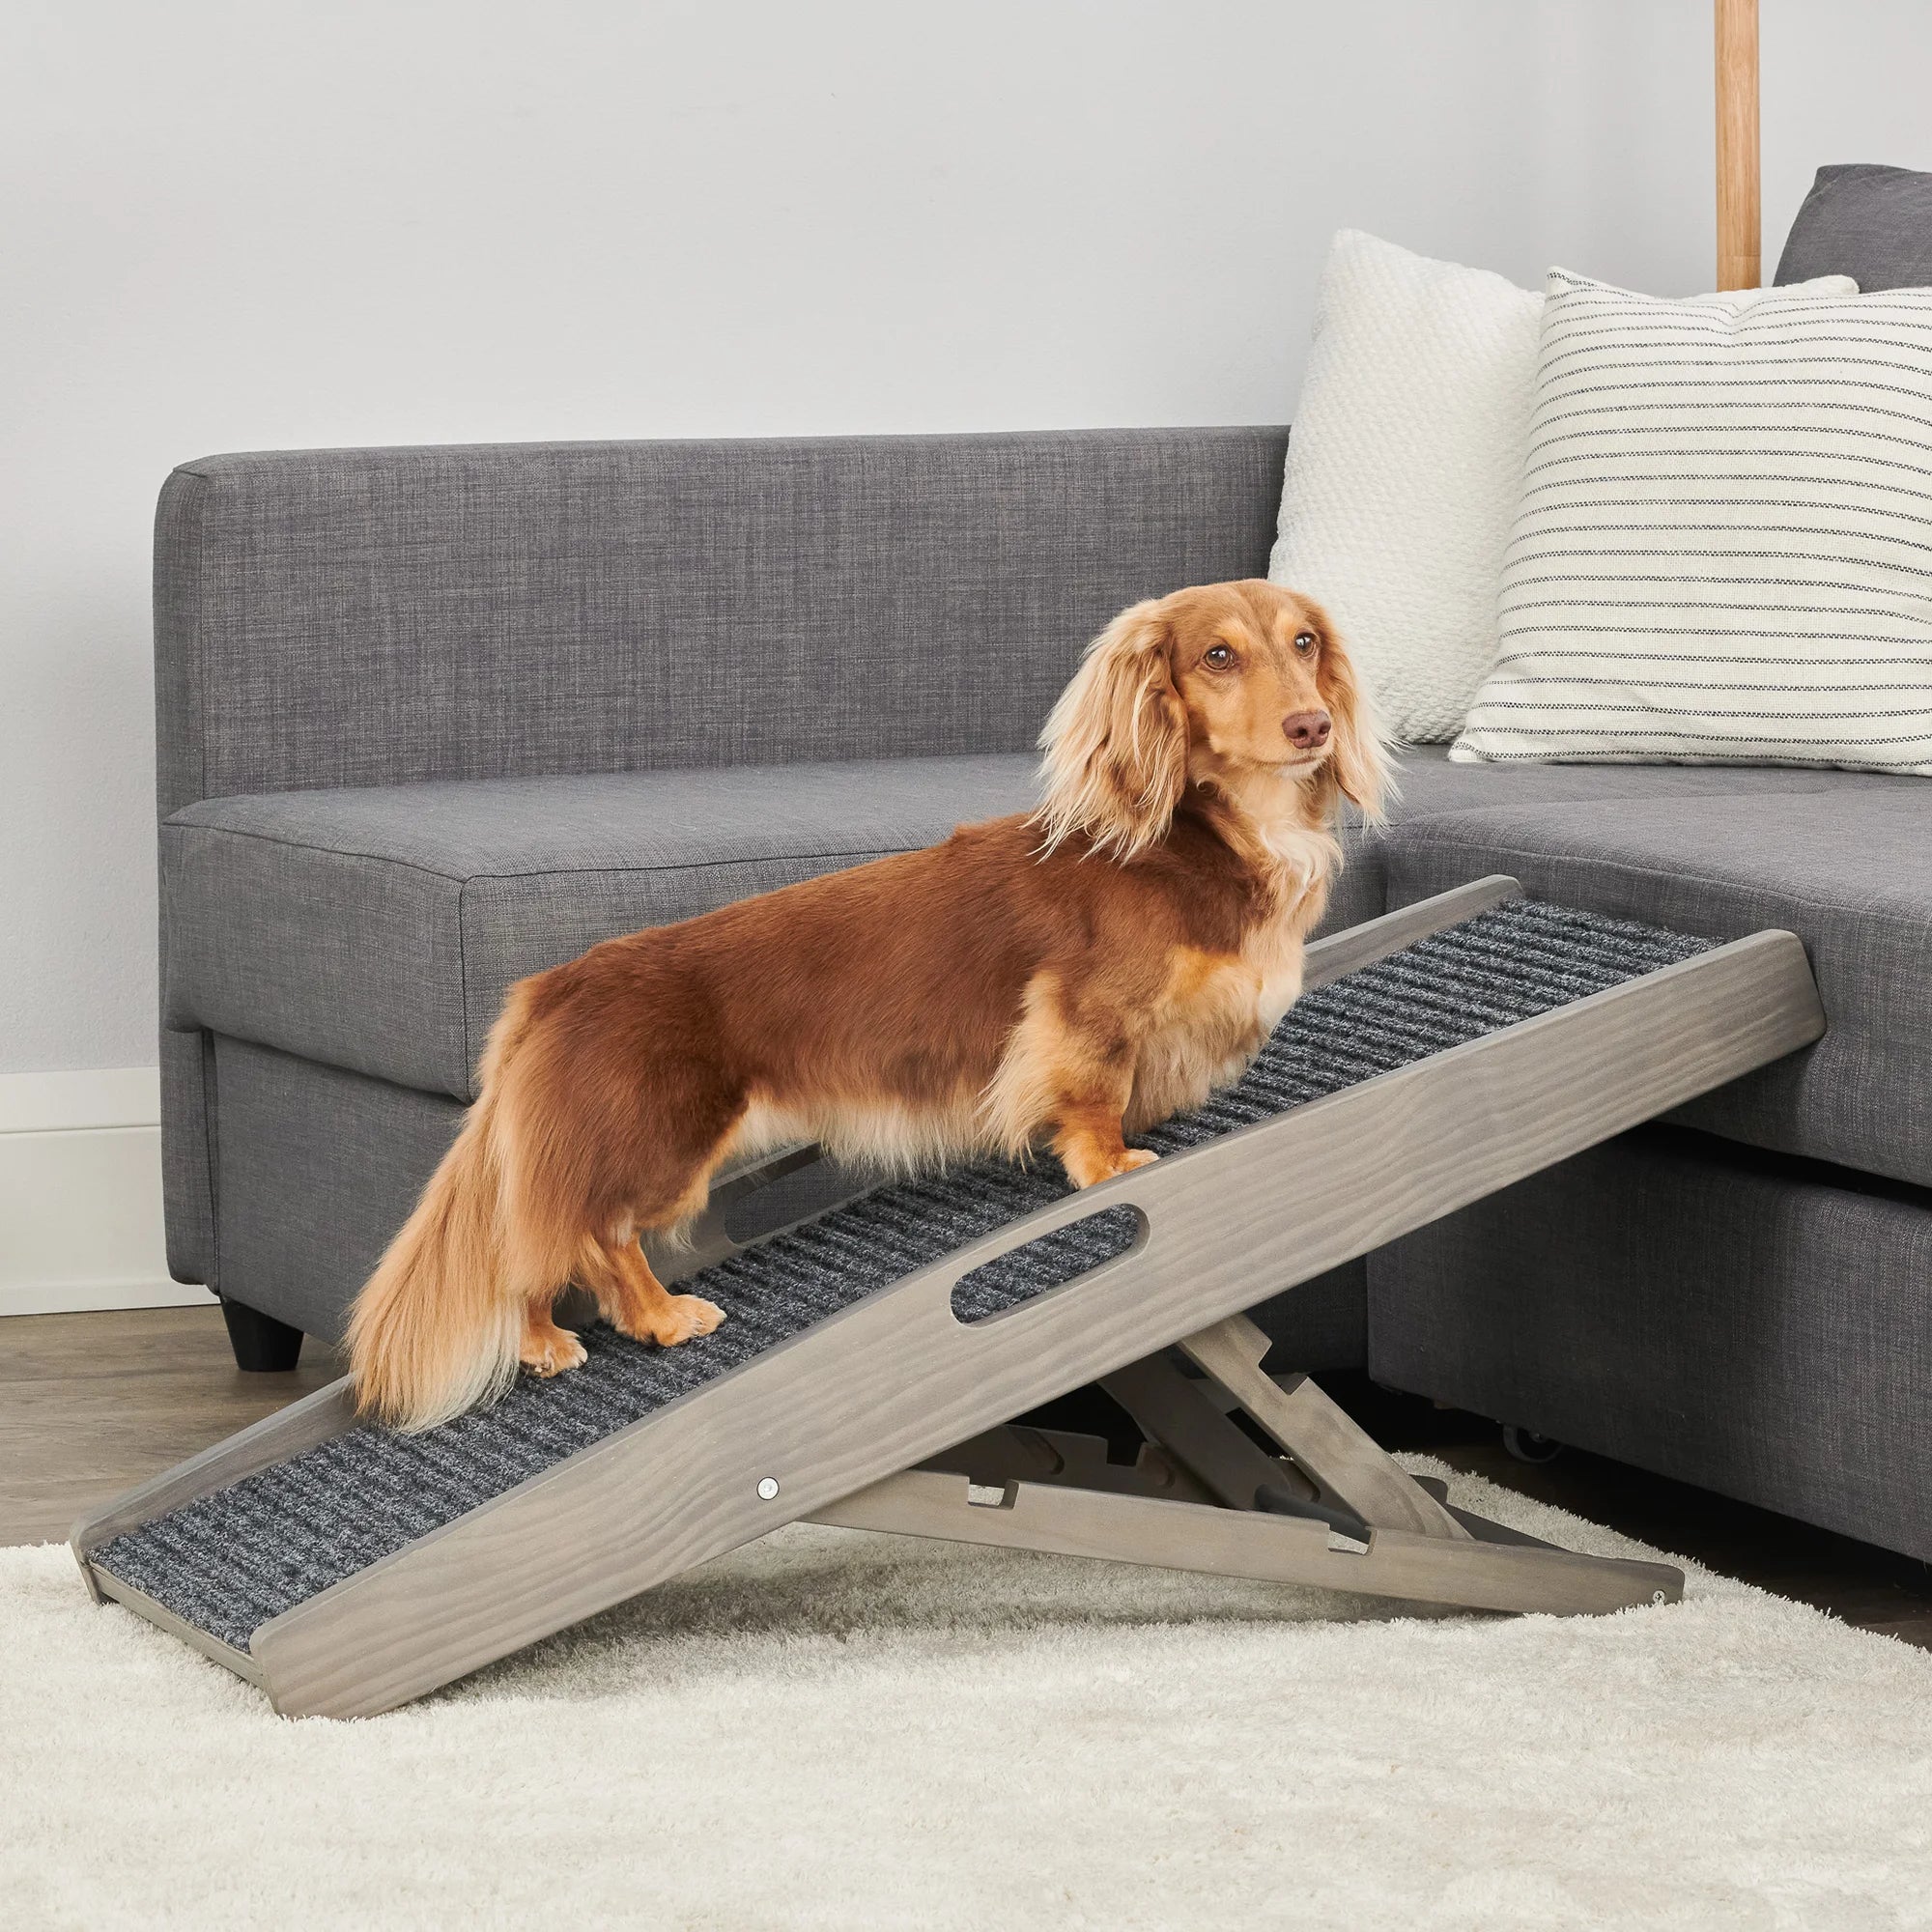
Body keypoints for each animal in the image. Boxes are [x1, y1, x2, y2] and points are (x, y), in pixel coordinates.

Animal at [344, 580, 1376, 1430]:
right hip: (663, 1142)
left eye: (1304, 642)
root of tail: (551, 987)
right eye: (1217, 656)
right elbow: (1092, 1100)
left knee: (528, 1247)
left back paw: (541, 1343)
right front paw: (1112, 1164)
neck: (1207, 833)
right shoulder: (1086, 1018)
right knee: (593, 1234)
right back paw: (662, 1317)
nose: (1311, 727)